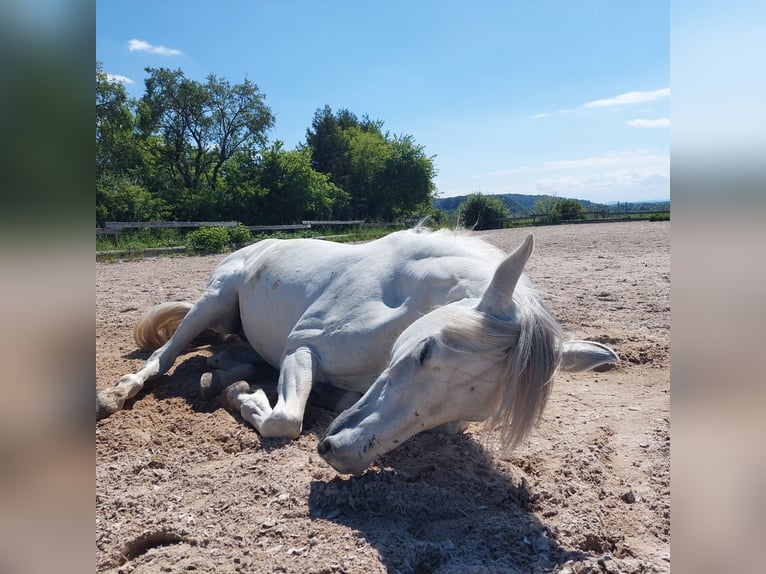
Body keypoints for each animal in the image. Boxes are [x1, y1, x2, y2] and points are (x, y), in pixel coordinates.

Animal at [99, 230, 620, 476]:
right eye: (424, 350)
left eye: (475, 415)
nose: (341, 453)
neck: (407, 297)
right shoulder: (302, 347)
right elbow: (285, 421)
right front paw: (246, 400)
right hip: (214, 298)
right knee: (163, 356)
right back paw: (119, 394)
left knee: (233, 357)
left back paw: (219, 375)